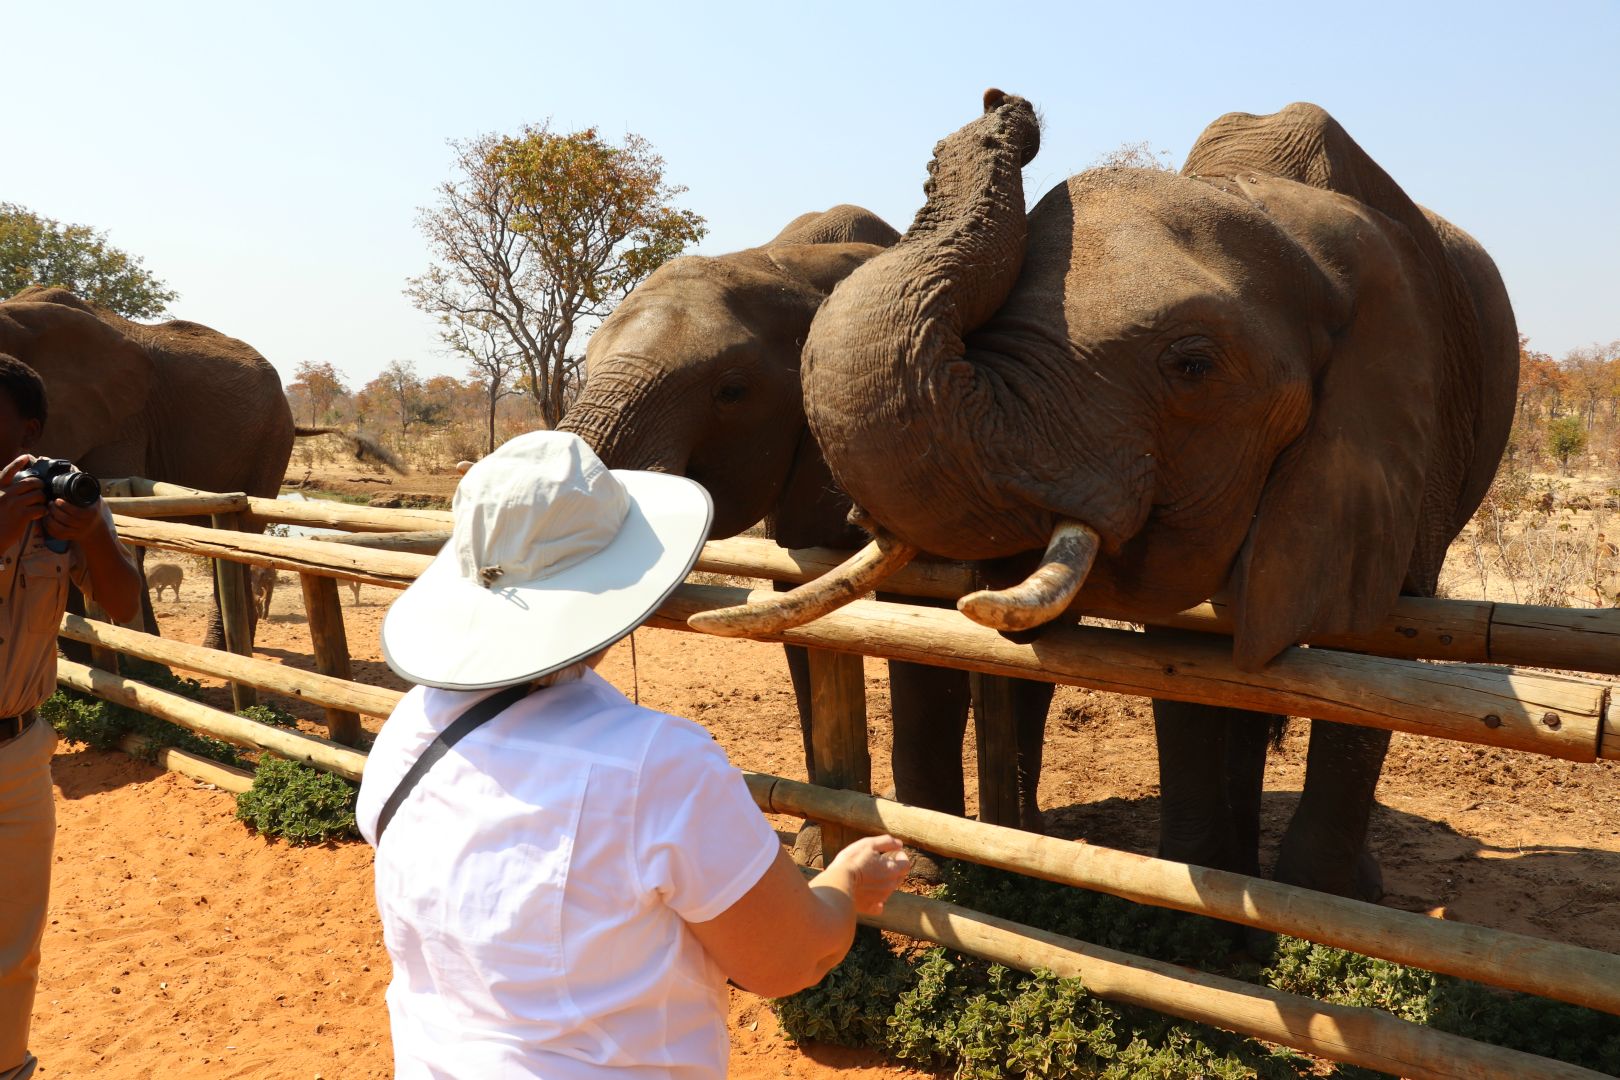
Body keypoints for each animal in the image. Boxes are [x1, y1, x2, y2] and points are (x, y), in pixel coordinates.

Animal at [560, 204, 1054, 836]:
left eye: (732, 392)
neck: (787, 265)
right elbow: (795, 607)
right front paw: (820, 840)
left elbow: (923, 623)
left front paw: (921, 845)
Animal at [711, 93, 1518, 900]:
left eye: (1192, 366)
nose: (1006, 105)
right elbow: (1183, 657)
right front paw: (1203, 901)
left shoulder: (1410, 430)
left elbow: (1375, 643)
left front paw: (1314, 904)